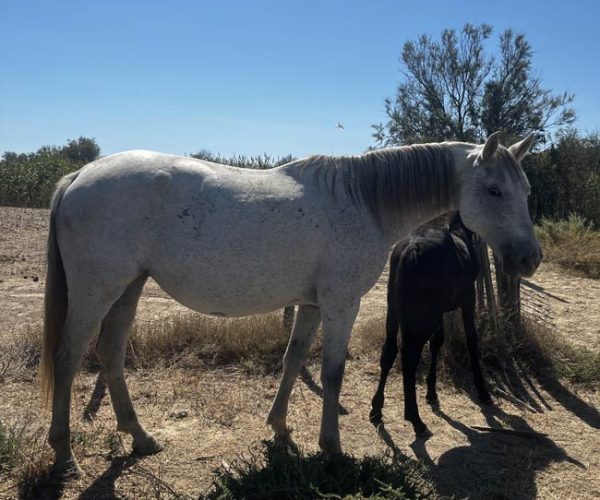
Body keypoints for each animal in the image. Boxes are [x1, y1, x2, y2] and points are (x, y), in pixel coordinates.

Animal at [370, 213, 492, 436]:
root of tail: (411, 249)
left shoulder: (440, 311)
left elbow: (437, 342)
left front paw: (431, 392)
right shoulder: (468, 300)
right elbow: (471, 339)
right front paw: (482, 390)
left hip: (395, 308)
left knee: (389, 351)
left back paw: (376, 409)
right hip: (422, 316)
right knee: (409, 356)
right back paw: (415, 419)